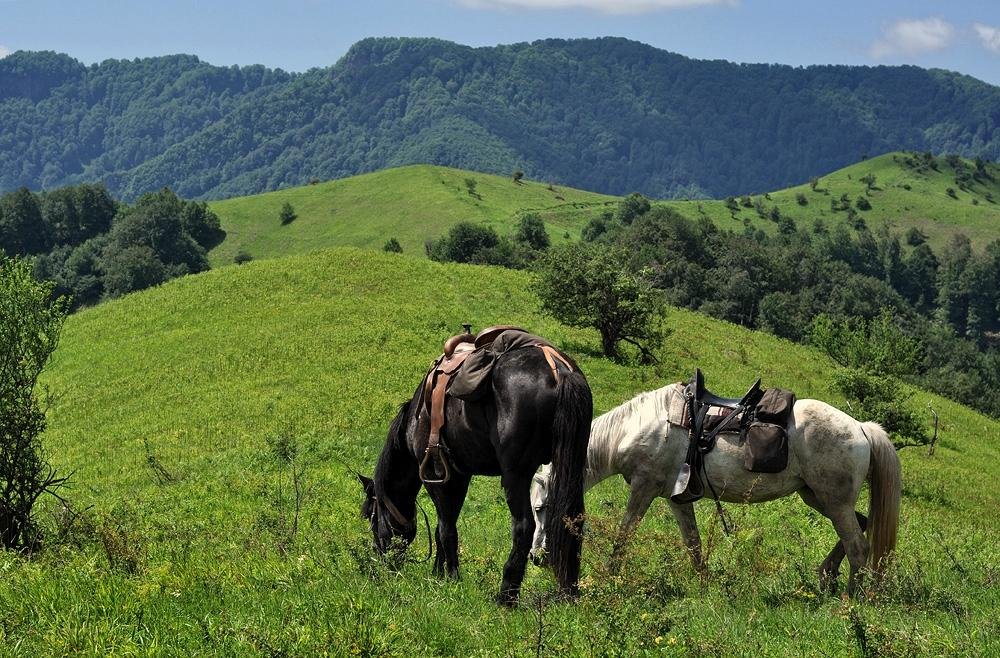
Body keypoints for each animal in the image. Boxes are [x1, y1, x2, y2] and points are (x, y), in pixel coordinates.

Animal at [362, 340, 592, 604]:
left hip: (516, 476)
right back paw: (568, 591)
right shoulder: (460, 476)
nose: (381, 559)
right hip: (571, 469)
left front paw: (450, 577)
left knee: (524, 526)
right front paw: (439, 573)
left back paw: (506, 595)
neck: (418, 418)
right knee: (573, 520)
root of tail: (558, 370)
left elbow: (446, 528)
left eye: (371, 516)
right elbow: (444, 526)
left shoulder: (438, 477)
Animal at [528, 380, 904, 596]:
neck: (639, 427)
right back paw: (827, 576)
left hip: (832, 501)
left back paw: (851, 601)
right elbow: (692, 544)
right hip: (818, 497)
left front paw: (608, 578)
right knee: (861, 526)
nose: (536, 557)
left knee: (858, 547)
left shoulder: (644, 488)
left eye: (540, 508)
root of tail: (861, 427)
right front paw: (706, 585)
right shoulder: (676, 497)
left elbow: (624, 534)